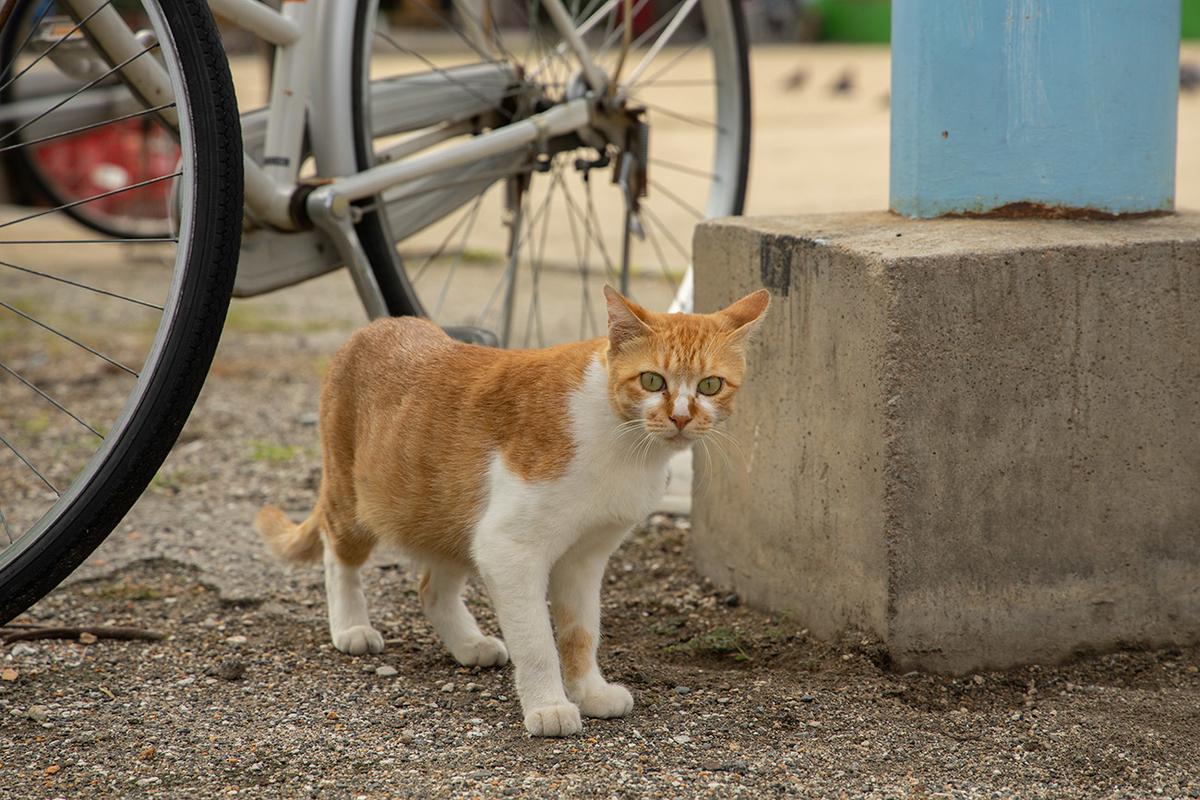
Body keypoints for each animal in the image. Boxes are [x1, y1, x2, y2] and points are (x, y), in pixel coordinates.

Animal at [255, 286, 768, 738]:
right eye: (652, 380)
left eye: (710, 385)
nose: (681, 417)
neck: (623, 441)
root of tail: (378, 325)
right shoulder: (510, 550)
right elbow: (538, 641)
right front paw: (550, 706)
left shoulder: (584, 558)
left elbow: (581, 632)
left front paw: (589, 691)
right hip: (356, 500)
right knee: (338, 553)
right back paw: (351, 626)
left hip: (450, 516)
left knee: (431, 589)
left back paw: (468, 643)